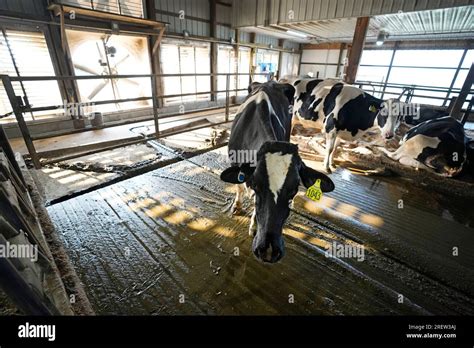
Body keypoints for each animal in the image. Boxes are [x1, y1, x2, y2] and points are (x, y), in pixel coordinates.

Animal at [220, 81, 336, 260]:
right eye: (256, 185)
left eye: (294, 190)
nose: (268, 249)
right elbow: (239, 186)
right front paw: (237, 207)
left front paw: (254, 226)